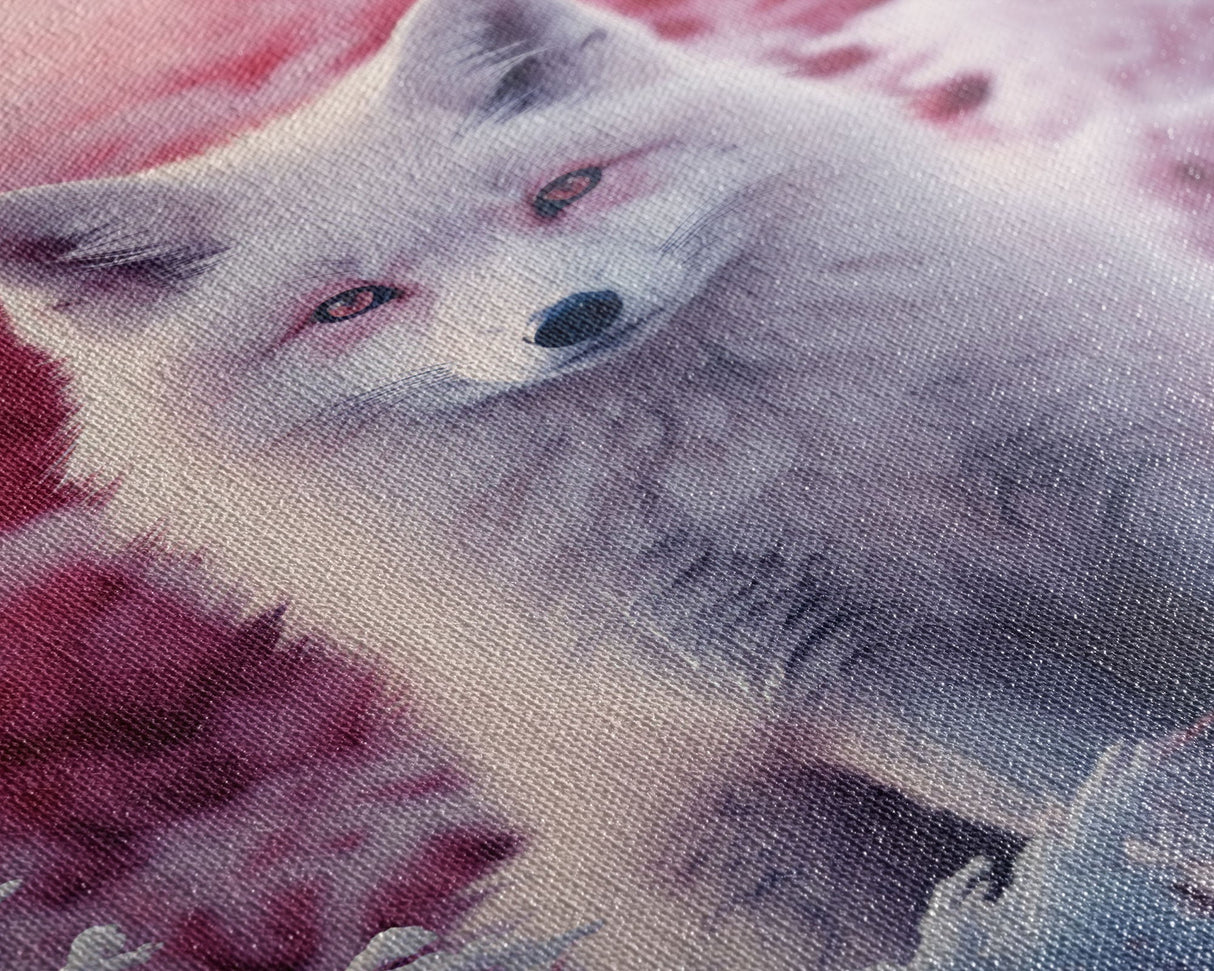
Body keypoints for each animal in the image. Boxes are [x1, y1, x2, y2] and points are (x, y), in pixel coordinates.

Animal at [2, 0, 1214, 960]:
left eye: (566, 190)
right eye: (350, 303)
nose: (573, 316)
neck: (765, 450)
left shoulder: (1126, 460)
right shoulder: (826, 659)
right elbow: (1097, 784)